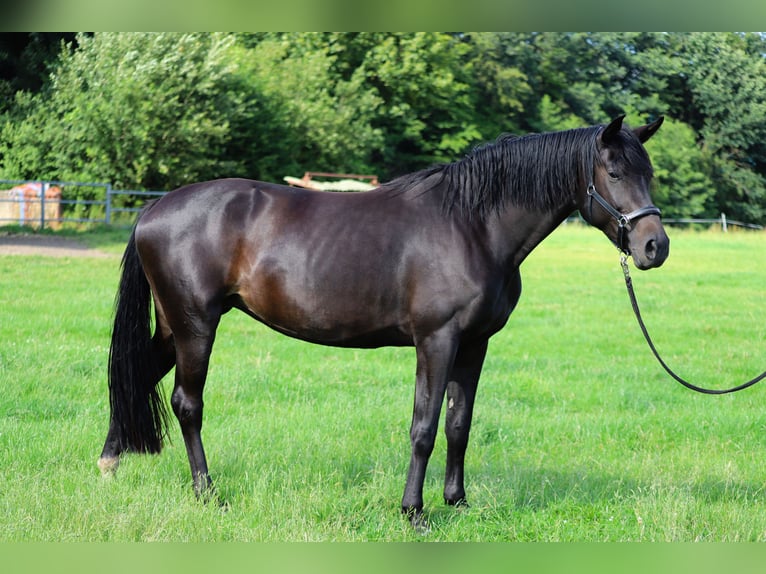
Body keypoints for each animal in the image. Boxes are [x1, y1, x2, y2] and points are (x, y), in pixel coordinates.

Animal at [99, 115, 668, 528]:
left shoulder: (474, 345)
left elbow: (459, 425)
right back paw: (207, 493)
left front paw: (458, 502)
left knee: (135, 377)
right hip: (196, 325)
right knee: (186, 403)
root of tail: (153, 211)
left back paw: (110, 463)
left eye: (649, 173)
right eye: (615, 173)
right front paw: (413, 512)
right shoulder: (436, 341)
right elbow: (424, 427)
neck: (472, 225)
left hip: (173, 327)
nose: (654, 247)